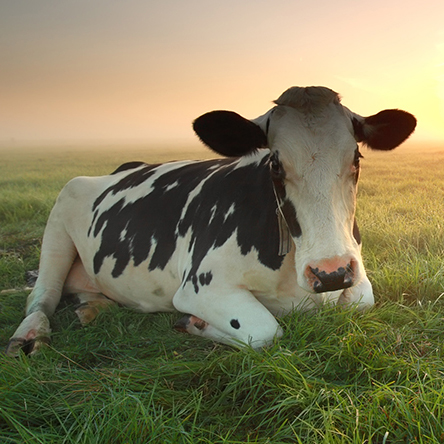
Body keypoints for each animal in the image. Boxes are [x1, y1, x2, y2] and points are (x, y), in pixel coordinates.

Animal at [6, 87, 416, 358]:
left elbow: (360, 301)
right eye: (275, 164)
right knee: (41, 296)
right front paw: (195, 323)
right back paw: (30, 335)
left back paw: (94, 308)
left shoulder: (358, 276)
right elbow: (263, 331)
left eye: (356, 158)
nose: (331, 272)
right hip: (61, 214)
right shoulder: (200, 286)